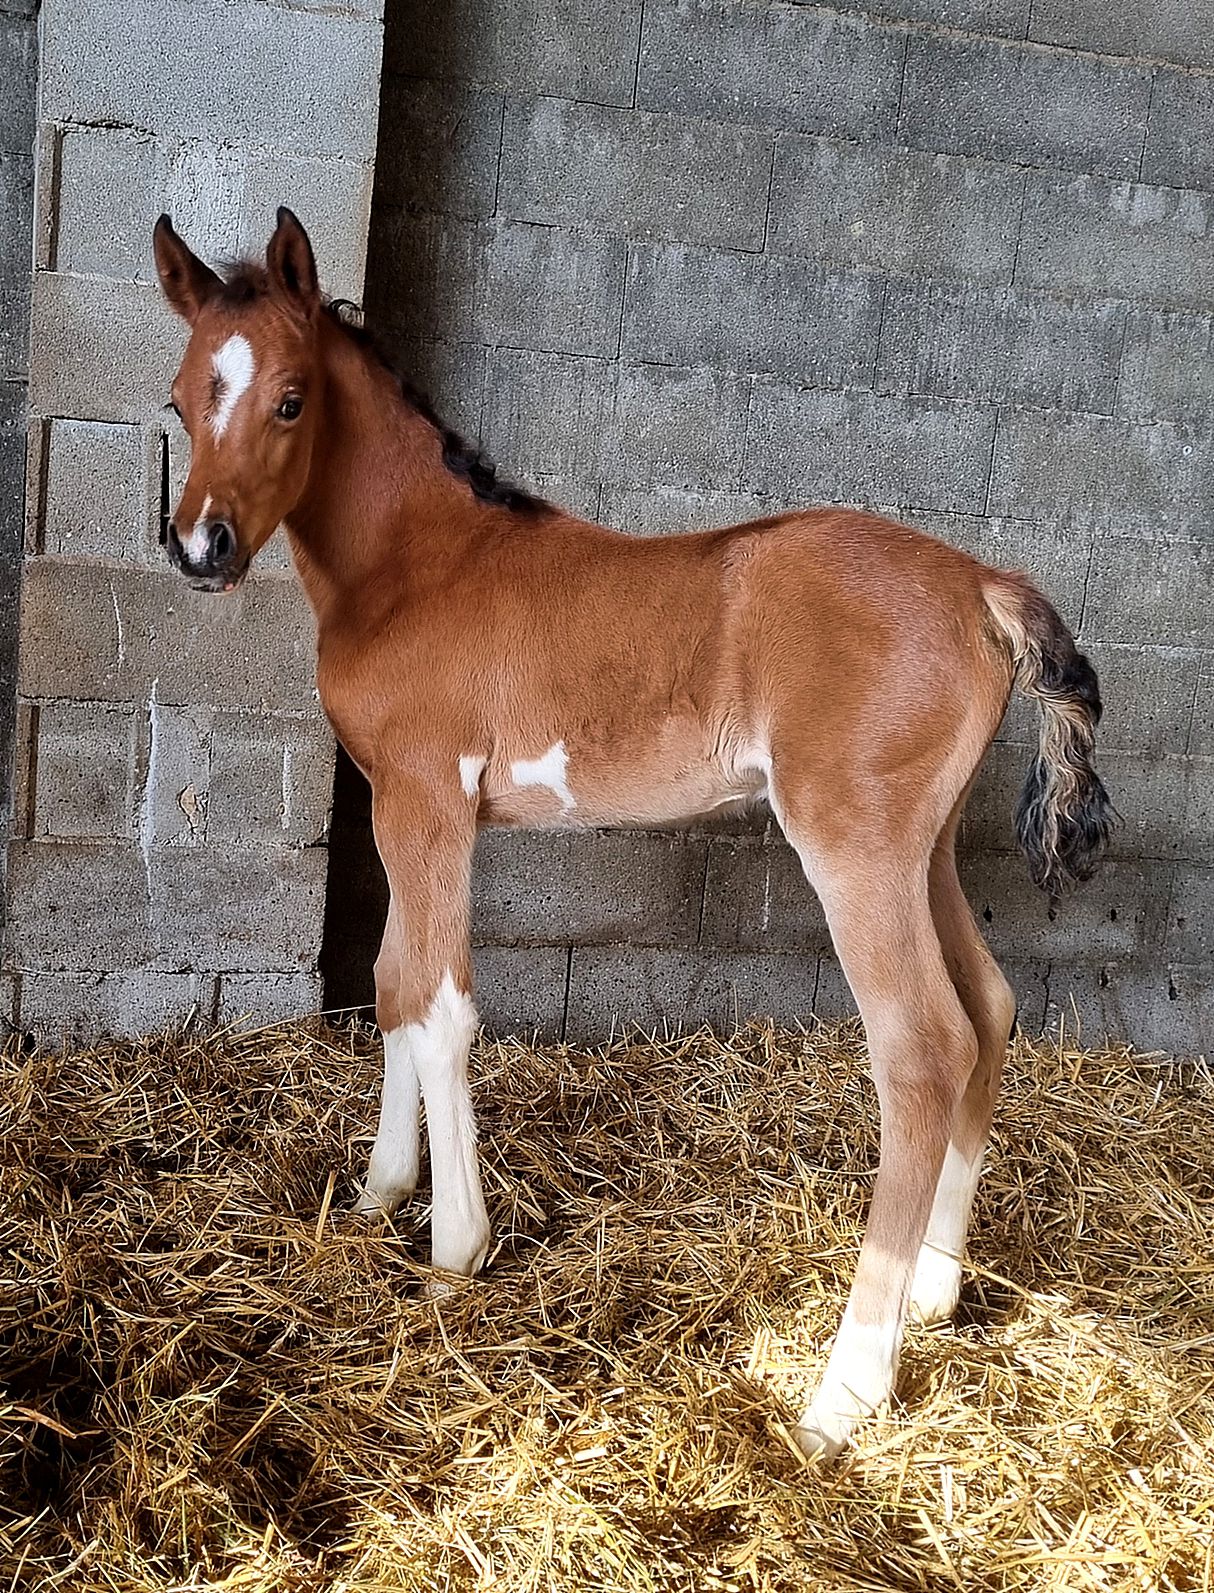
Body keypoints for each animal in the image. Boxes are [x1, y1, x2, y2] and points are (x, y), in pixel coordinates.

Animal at [151, 208, 1113, 1460]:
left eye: (291, 399)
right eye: (180, 400)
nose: (201, 548)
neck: (418, 567)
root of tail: (978, 583)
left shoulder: (429, 800)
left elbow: (440, 1006)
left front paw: (454, 1249)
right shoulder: (392, 802)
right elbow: (395, 982)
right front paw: (378, 1192)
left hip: (853, 846)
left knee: (921, 1052)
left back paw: (842, 1393)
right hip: (928, 845)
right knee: (989, 1006)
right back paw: (937, 1291)